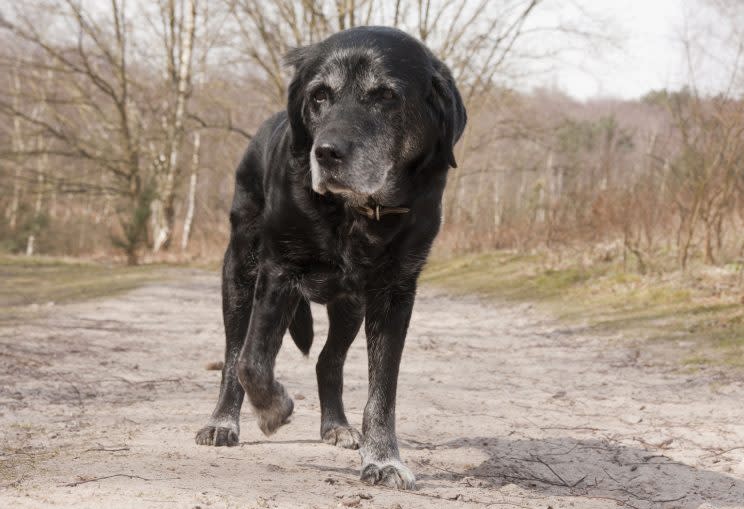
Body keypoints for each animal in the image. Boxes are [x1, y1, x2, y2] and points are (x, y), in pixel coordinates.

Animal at [198, 24, 464, 488]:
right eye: (319, 95)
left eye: (385, 96)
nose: (325, 152)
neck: (354, 213)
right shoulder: (278, 272)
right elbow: (251, 361)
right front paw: (272, 409)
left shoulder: (395, 294)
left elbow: (383, 392)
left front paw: (384, 459)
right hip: (239, 275)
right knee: (232, 355)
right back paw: (223, 422)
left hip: (349, 306)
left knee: (327, 361)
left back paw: (337, 427)